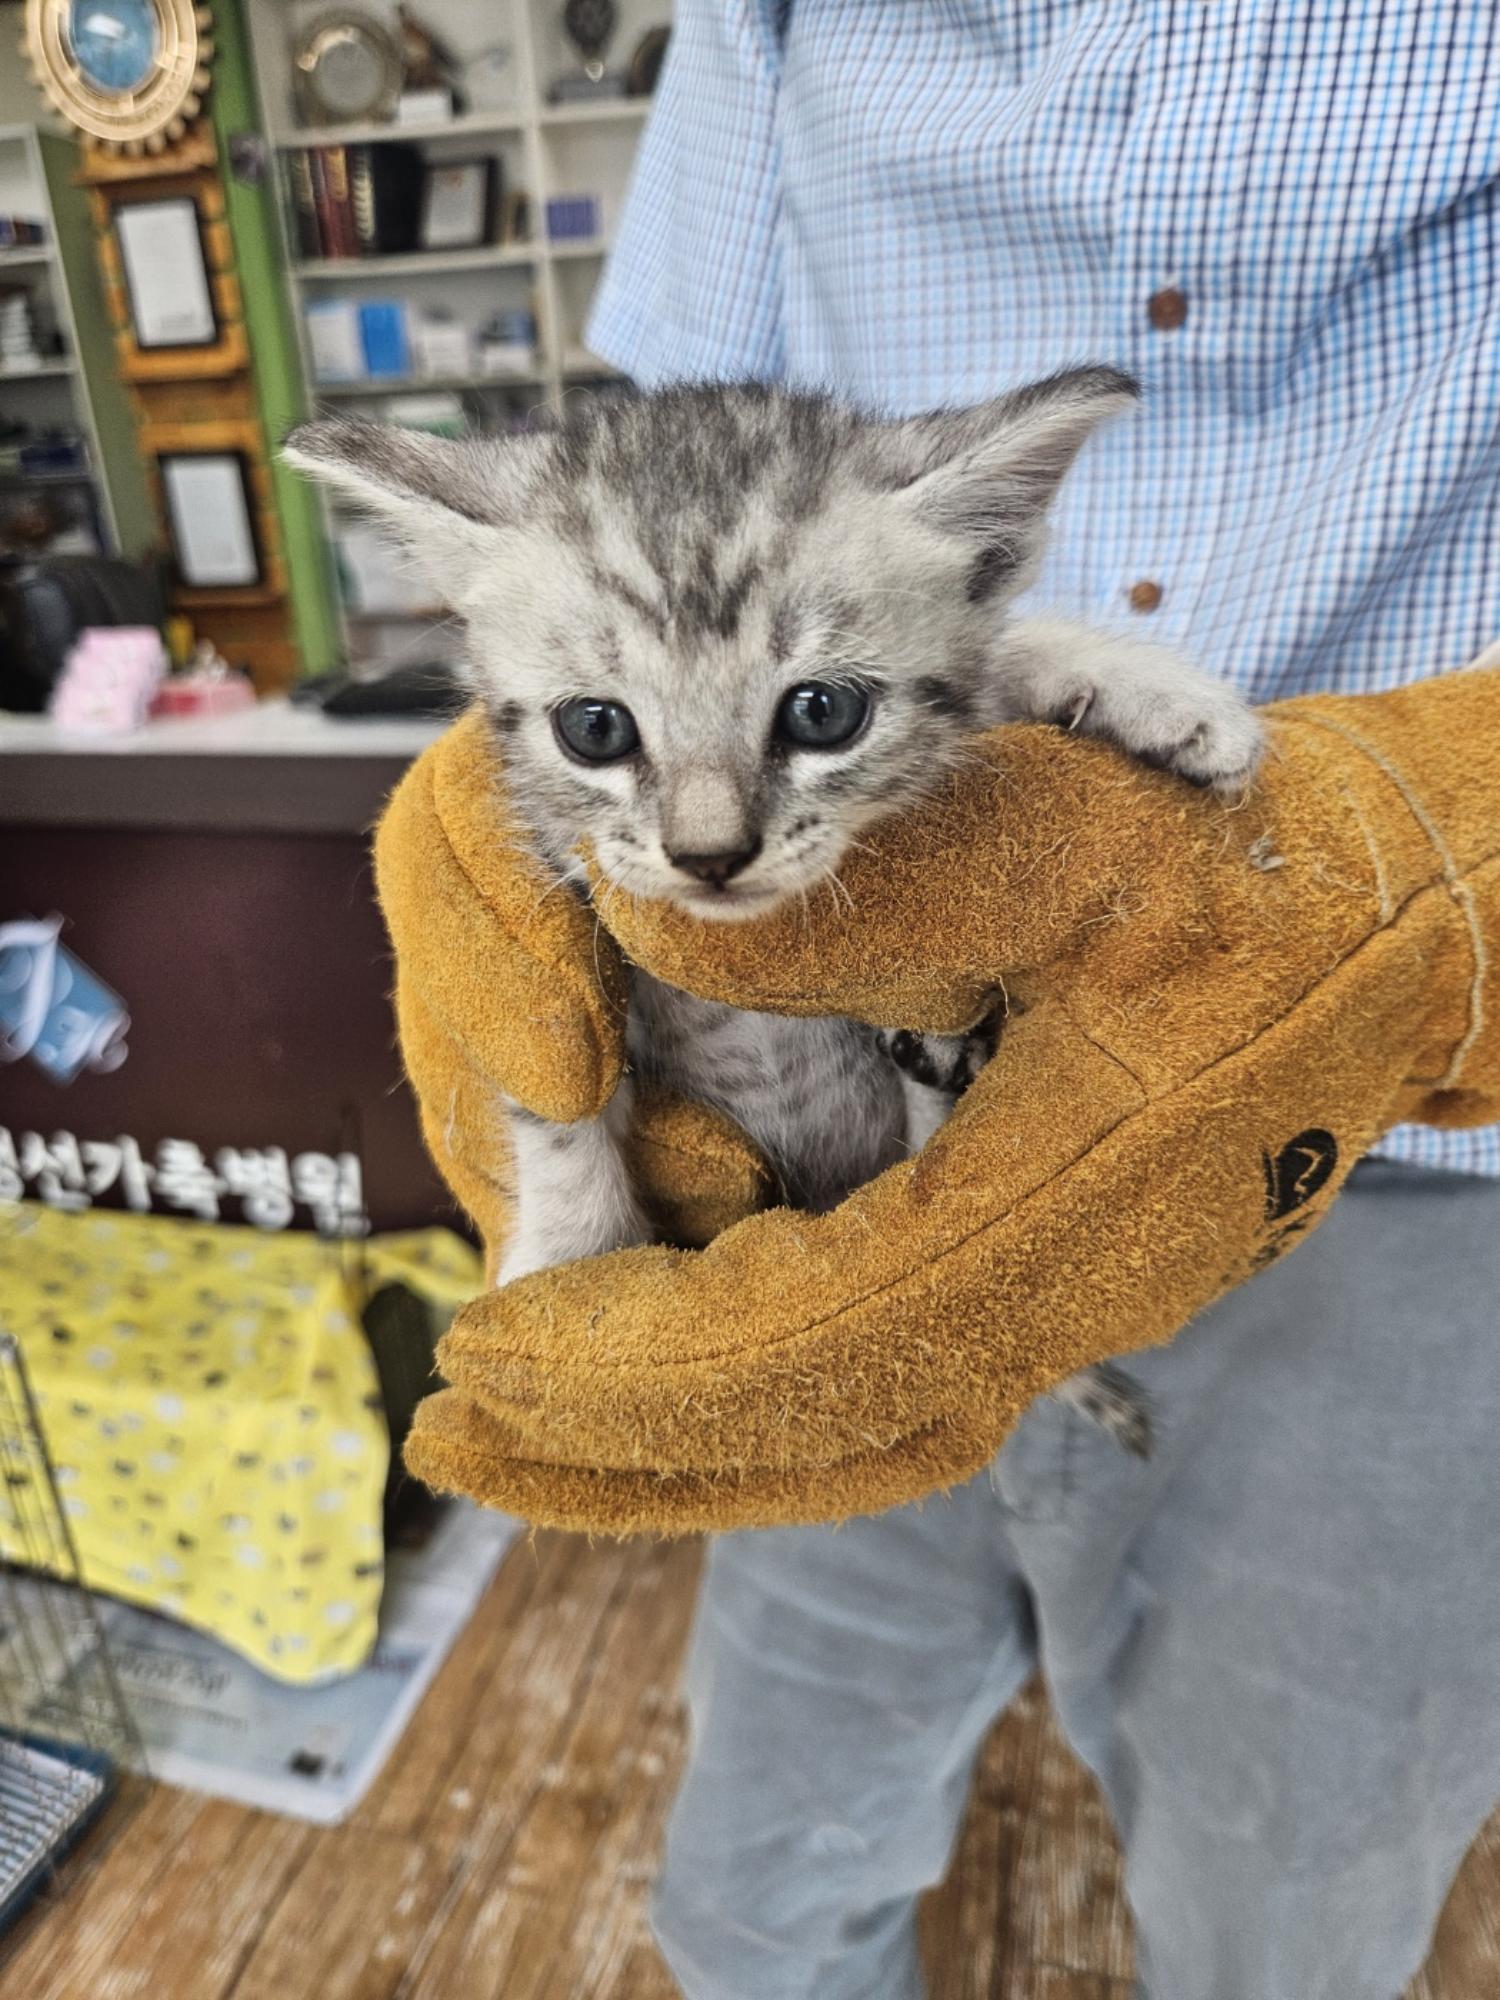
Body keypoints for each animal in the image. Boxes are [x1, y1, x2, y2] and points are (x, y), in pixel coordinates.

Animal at [284, 368, 1272, 1456]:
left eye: (821, 712)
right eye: (595, 728)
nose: (709, 855)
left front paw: (1145, 688)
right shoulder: (549, 931)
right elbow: (553, 1090)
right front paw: (565, 1258)